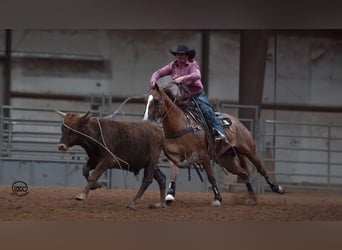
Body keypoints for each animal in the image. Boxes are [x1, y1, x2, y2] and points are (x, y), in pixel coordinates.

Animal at [143, 83, 284, 206]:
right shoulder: (175, 157)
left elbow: (211, 176)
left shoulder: (203, 155)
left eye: (156, 100)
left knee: (260, 168)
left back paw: (277, 188)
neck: (181, 125)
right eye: (146, 100)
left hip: (249, 150)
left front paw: (217, 198)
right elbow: (174, 173)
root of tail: (237, 122)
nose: (146, 121)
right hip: (226, 160)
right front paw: (170, 194)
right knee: (244, 173)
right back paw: (252, 198)